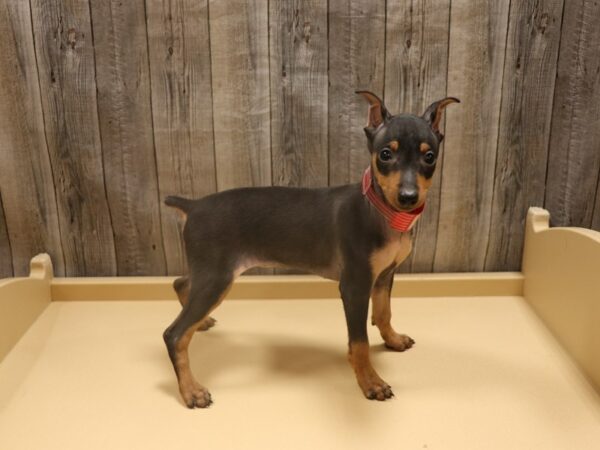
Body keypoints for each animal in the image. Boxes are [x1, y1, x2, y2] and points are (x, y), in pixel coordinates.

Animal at [162, 91, 458, 408]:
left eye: (429, 157)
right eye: (385, 155)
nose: (408, 197)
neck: (380, 212)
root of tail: (193, 206)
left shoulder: (384, 275)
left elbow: (383, 312)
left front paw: (392, 340)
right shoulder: (355, 286)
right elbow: (360, 343)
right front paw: (370, 382)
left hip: (208, 271)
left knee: (181, 283)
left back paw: (201, 323)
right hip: (216, 276)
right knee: (174, 334)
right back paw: (191, 390)